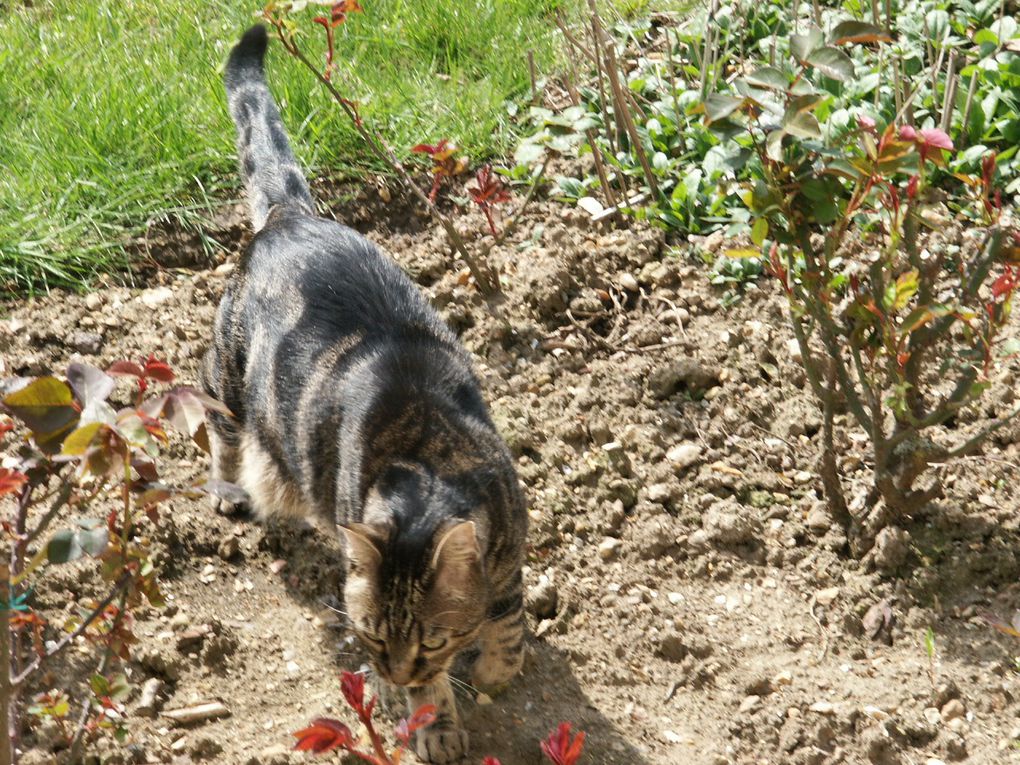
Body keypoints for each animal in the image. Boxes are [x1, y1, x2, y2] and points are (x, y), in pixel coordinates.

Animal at [202, 23, 530, 765]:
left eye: (431, 638)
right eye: (375, 635)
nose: (393, 671)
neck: (430, 455)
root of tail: (290, 215)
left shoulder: (509, 559)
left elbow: (510, 622)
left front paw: (497, 669)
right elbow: (439, 692)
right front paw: (434, 722)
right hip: (229, 373)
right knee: (219, 423)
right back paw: (232, 486)